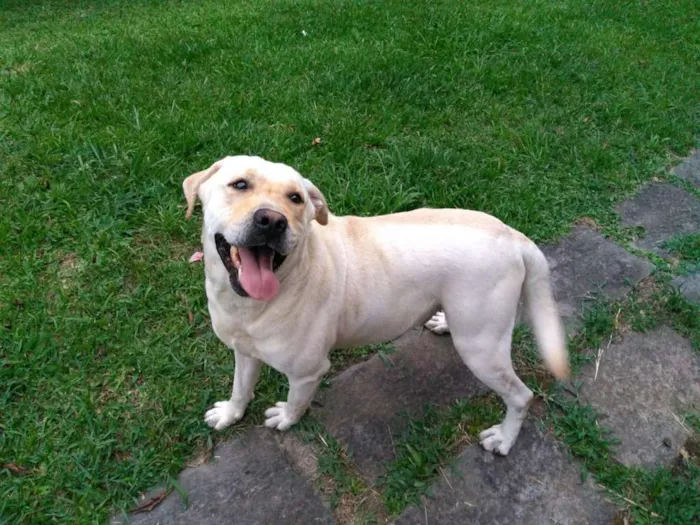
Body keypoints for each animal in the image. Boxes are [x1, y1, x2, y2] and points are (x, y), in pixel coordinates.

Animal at [185, 155, 568, 454]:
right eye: (239, 184)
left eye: (295, 198)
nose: (272, 220)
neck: (248, 306)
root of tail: (513, 236)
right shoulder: (243, 351)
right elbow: (240, 387)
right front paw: (230, 414)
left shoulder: (308, 373)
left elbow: (296, 403)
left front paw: (286, 419)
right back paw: (443, 322)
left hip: (482, 350)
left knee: (520, 396)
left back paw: (503, 439)